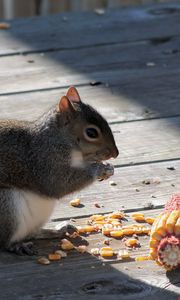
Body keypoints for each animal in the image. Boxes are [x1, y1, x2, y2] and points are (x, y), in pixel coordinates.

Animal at [0, 86, 119, 255]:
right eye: (91, 133)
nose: (116, 153)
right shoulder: (44, 162)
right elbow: (59, 184)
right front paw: (100, 169)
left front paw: (108, 168)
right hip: (6, 205)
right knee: (5, 242)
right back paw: (16, 245)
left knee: (33, 233)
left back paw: (57, 230)